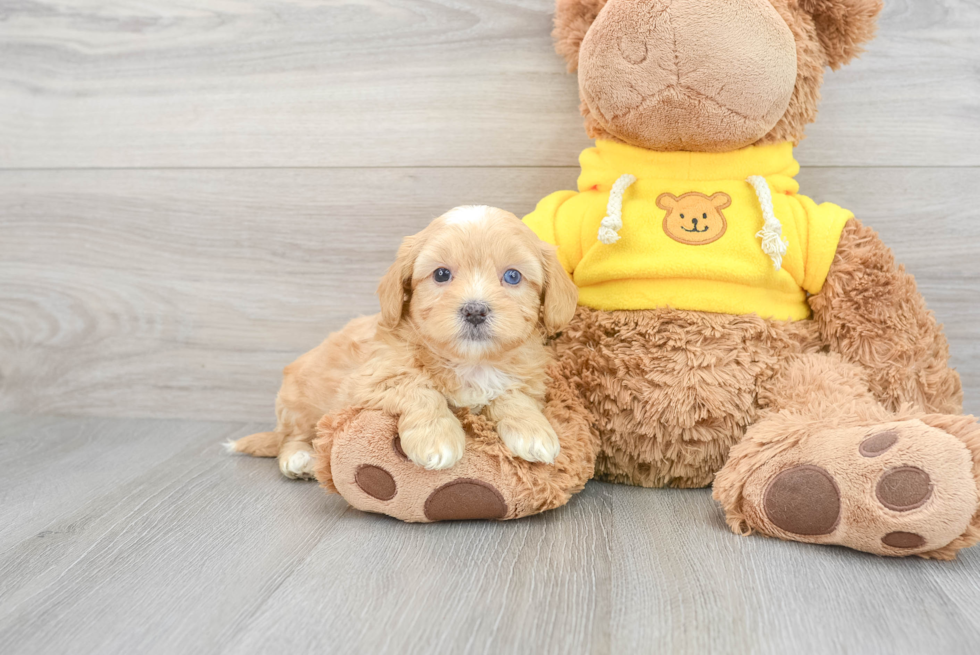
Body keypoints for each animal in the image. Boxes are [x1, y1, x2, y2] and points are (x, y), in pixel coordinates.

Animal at [228, 208, 580, 480]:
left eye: (512, 277)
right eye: (441, 274)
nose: (475, 310)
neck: (471, 362)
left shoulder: (525, 378)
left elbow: (513, 396)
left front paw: (534, 431)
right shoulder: (372, 379)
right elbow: (418, 388)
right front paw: (436, 439)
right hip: (298, 404)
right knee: (292, 437)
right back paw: (298, 458)